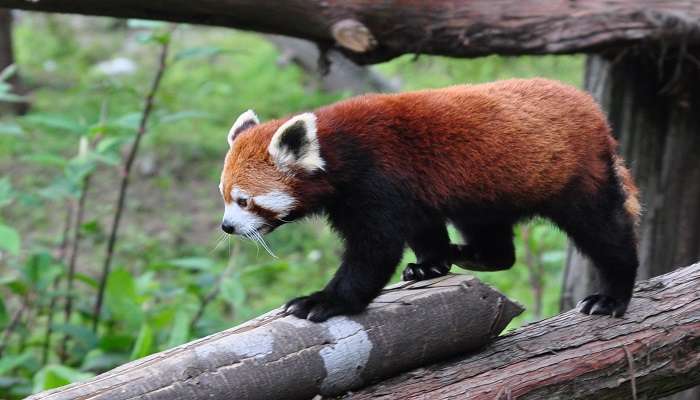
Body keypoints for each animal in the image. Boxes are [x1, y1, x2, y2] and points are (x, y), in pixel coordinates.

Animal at [217, 78, 640, 322]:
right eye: (224, 197)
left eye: (244, 201)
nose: (227, 226)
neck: (339, 149)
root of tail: (591, 106)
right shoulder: (410, 192)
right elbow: (421, 228)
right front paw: (430, 265)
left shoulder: (379, 180)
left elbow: (374, 252)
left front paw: (323, 301)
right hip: (485, 189)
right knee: (493, 237)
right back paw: (474, 255)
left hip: (576, 174)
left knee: (604, 231)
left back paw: (612, 295)